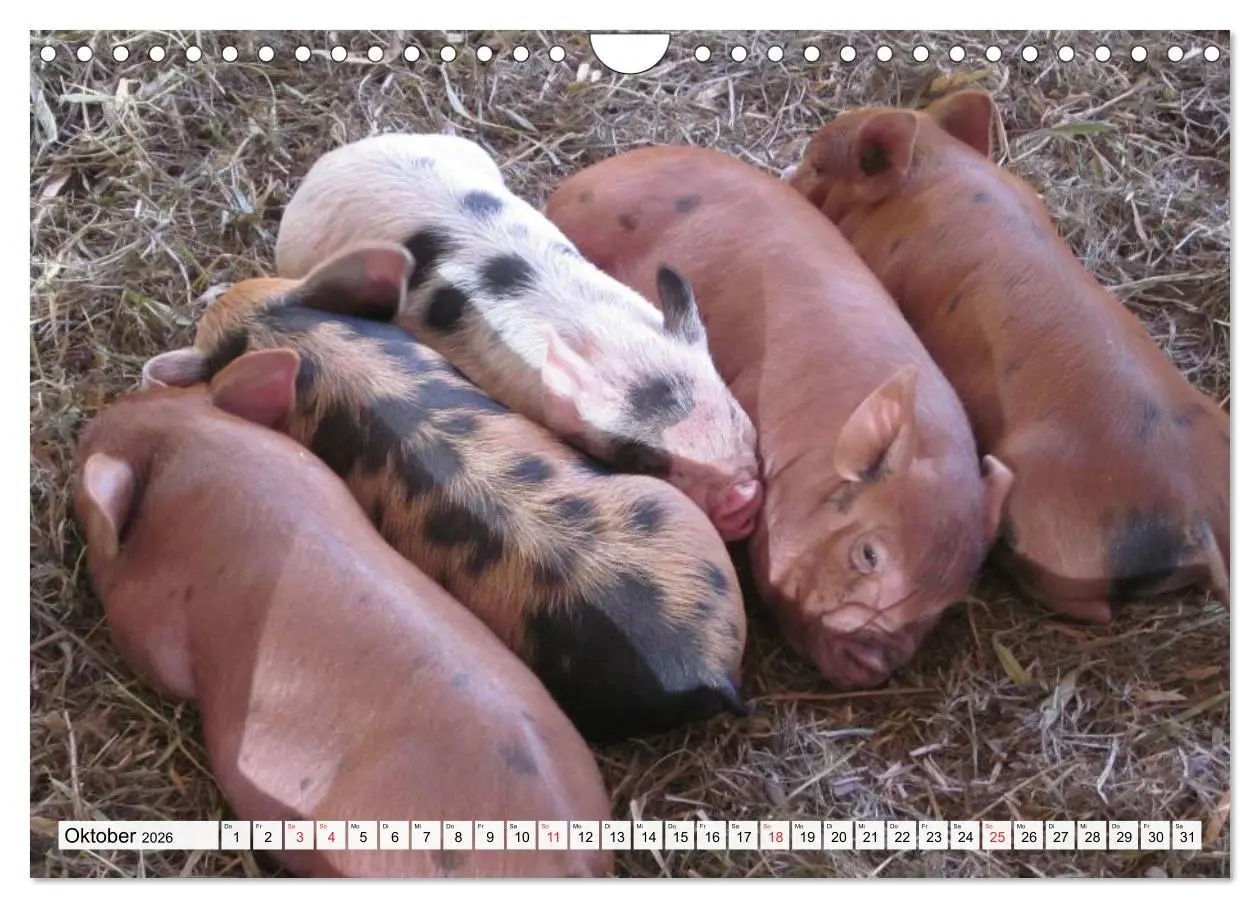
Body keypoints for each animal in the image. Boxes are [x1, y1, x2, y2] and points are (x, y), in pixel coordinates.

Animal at [785, 90, 1230, 622]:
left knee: (1087, 605)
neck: (932, 163)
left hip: (1045, 514)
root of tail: (1197, 514)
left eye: (817, 165)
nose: (786, 179)